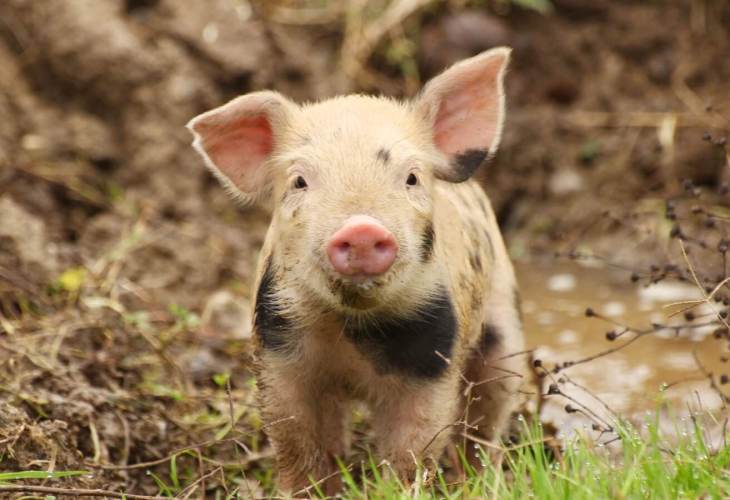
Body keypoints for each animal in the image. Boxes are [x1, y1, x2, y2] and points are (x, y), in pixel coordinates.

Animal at [188, 48, 524, 494]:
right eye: (299, 181)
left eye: (412, 177)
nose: (361, 228)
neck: (352, 331)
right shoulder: (279, 355)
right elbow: (296, 443)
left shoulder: (433, 362)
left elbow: (413, 448)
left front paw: (397, 490)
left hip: (504, 323)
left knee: (487, 421)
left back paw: (480, 483)